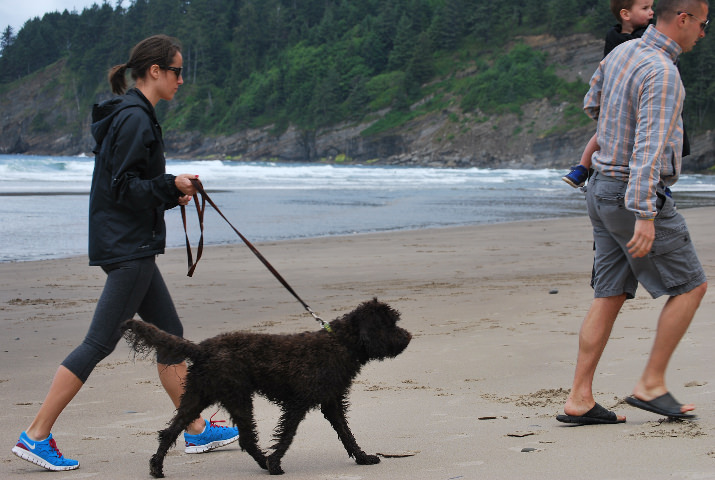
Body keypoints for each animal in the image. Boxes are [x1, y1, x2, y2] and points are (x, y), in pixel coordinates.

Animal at [122, 298, 412, 478]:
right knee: (247, 438)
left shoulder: (331, 402)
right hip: (237, 397)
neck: (342, 342)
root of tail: (201, 349)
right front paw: (275, 461)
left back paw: (157, 467)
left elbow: (347, 433)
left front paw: (363, 457)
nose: (408, 336)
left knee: (170, 431)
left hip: (198, 396)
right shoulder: (298, 402)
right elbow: (288, 434)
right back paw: (266, 463)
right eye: (389, 324)